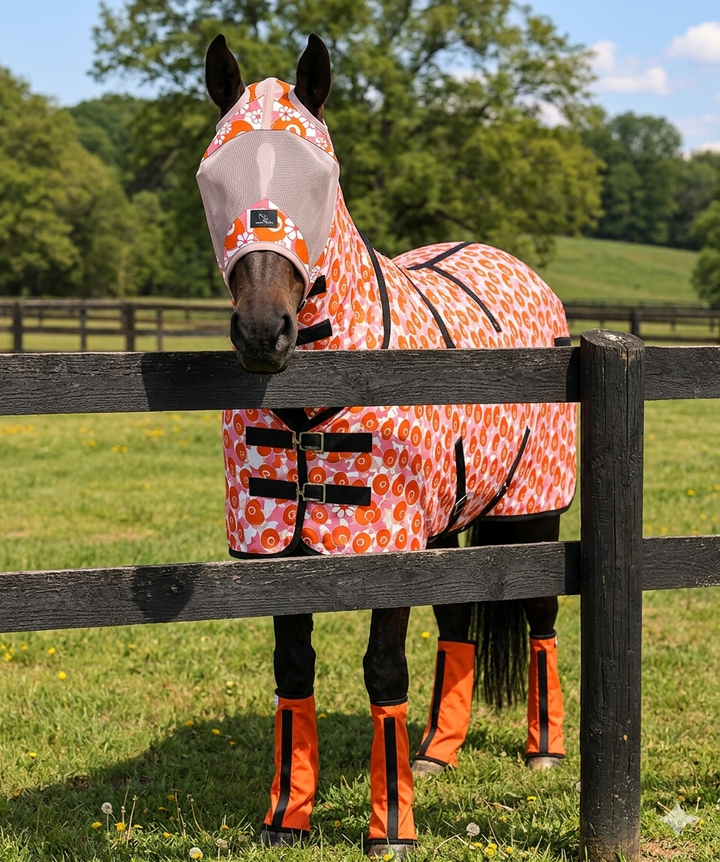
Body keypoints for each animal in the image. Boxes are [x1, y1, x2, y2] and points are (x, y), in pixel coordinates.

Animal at [197, 33, 576, 858]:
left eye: (322, 177)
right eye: (214, 176)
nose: (263, 332)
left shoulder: (389, 548)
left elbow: (382, 671)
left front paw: (390, 829)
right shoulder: (280, 552)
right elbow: (293, 669)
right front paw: (287, 815)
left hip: (532, 512)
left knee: (540, 612)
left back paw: (543, 749)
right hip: (446, 527)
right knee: (459, 624)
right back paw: (438, 751)